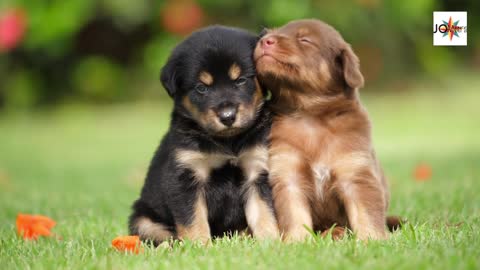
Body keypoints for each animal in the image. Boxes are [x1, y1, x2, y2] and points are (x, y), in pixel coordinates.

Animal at [129, 25, 280, 245]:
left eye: (241, 80)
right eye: (201, 88)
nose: (228, 116)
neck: (228, 142)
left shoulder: (257, 171)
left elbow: (264, 213)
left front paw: (271, 242)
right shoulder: (186, 177)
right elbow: (193, 219)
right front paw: (199, 246)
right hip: (143, 219)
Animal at [253, 20, 392, 242]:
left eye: (305, 40)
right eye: (270, 33)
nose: (264, 40)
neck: (310, 115)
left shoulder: (355, 172)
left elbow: (366, 213)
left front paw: (372, 240)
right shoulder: (288, 173)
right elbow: (294, 214)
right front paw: (297, 241)